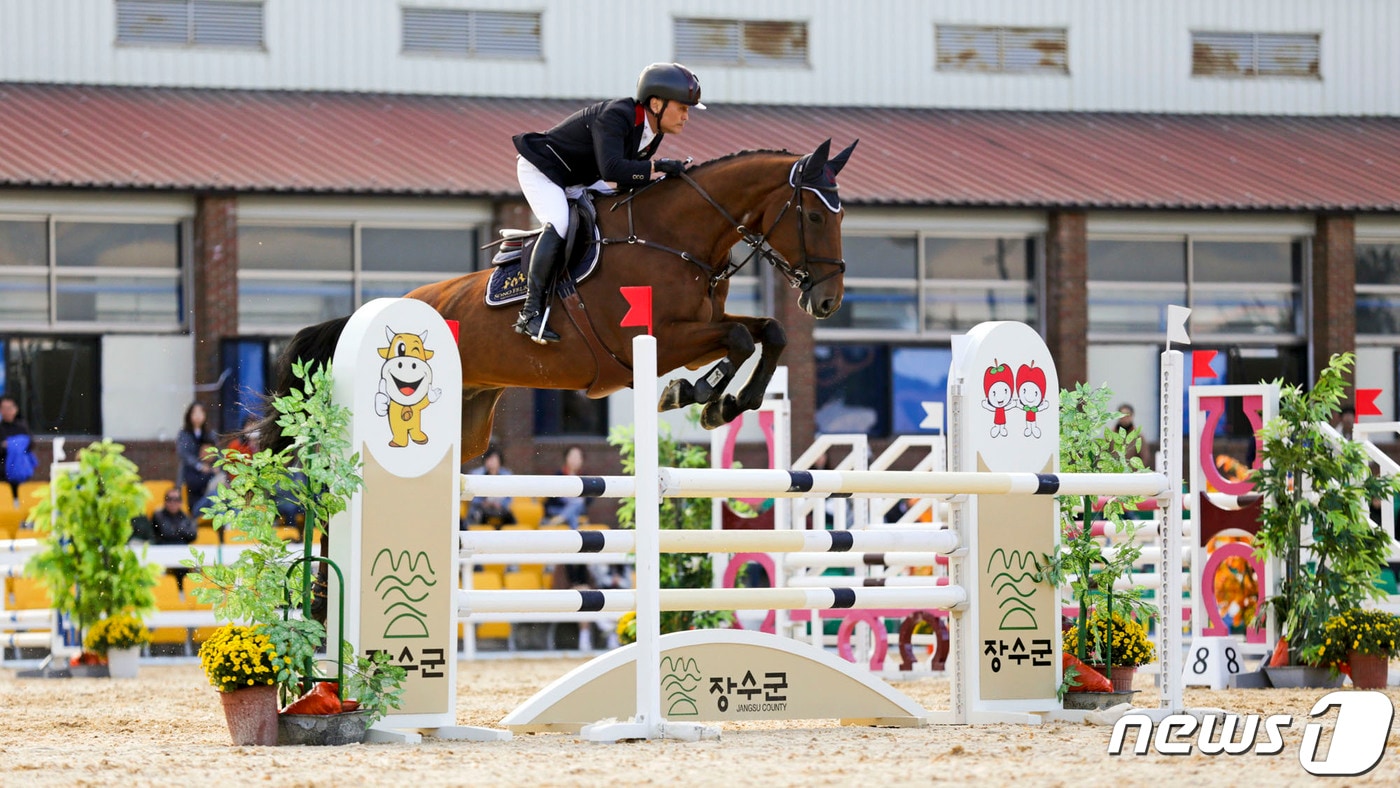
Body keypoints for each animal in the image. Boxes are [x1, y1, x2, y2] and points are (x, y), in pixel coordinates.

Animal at [260, 139, 851, 461]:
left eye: (841, 215)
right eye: (814, 215)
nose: (827, 302)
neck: (674, 237)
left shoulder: (699, 328)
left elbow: (766, 331)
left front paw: (726, 403)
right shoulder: (655, 341)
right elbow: (737, 337)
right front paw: (692, 395)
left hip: (467, 420)